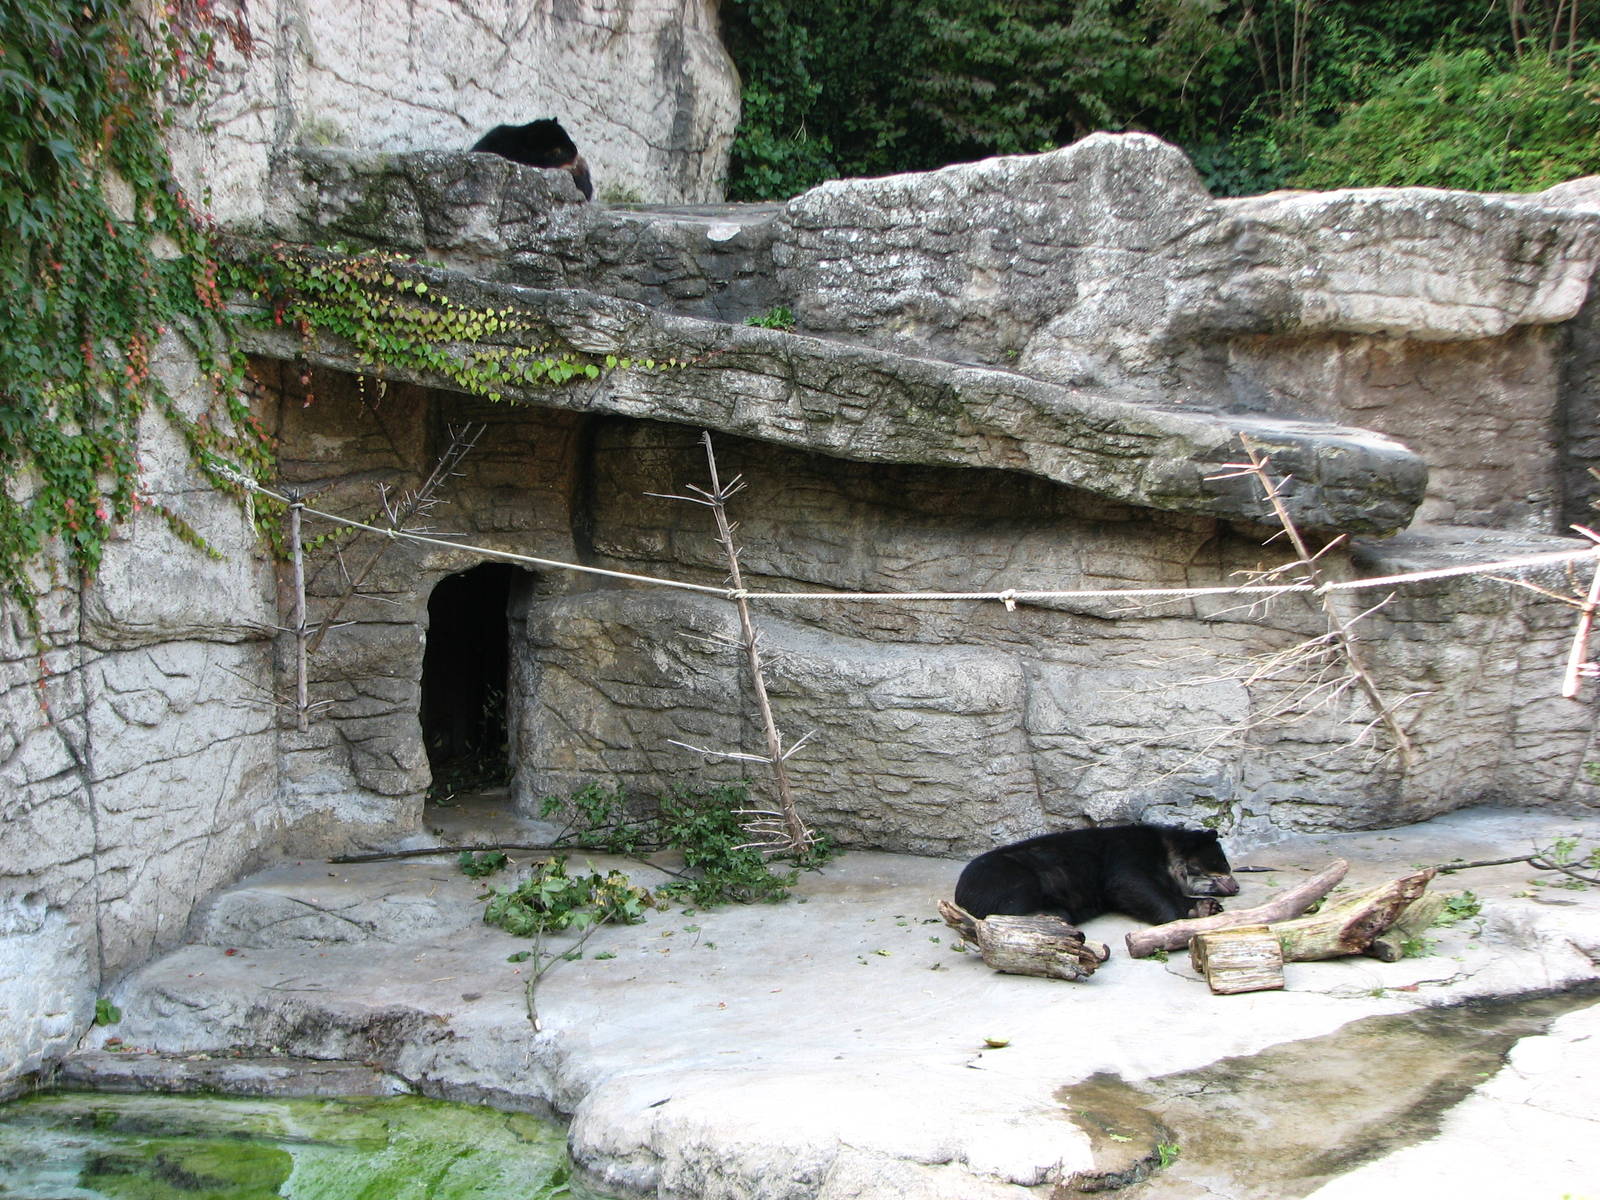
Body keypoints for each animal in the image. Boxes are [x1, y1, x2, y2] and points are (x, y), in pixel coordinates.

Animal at [953, 823, 1239, 927]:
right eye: (1223, 862)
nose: (1236, 886)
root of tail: (961, 895)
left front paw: (1206, 907)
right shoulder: (1127, 849)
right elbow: (1129, 881)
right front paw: (1179, 917)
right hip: (1009, 877)